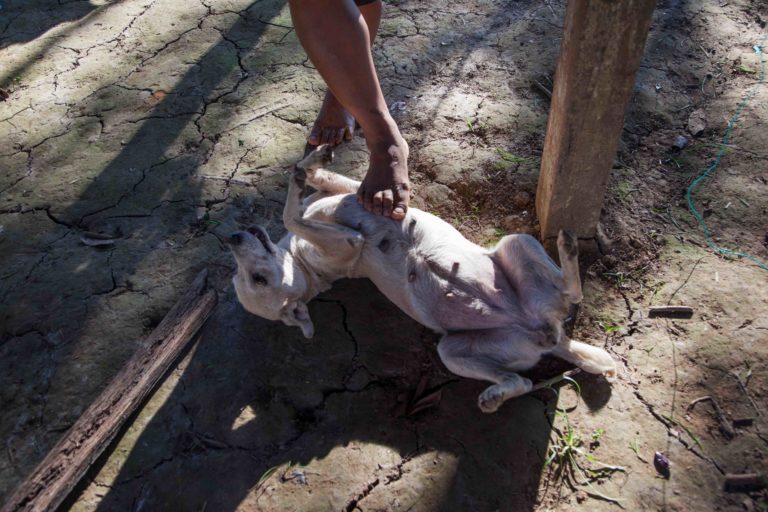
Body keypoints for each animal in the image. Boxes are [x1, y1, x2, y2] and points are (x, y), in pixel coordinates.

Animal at [228, 145, 616, 412]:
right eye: (258, 279)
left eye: (248, 277)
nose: (232, 238)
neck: (304, 263)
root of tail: (548, 336)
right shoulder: (347, 241)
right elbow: (291, 215)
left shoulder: (346, 190)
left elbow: (306, 182)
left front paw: (314, 157)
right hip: (453, 351)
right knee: (532, 360)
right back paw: (495, 395)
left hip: (516, 244)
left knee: (567, 298)